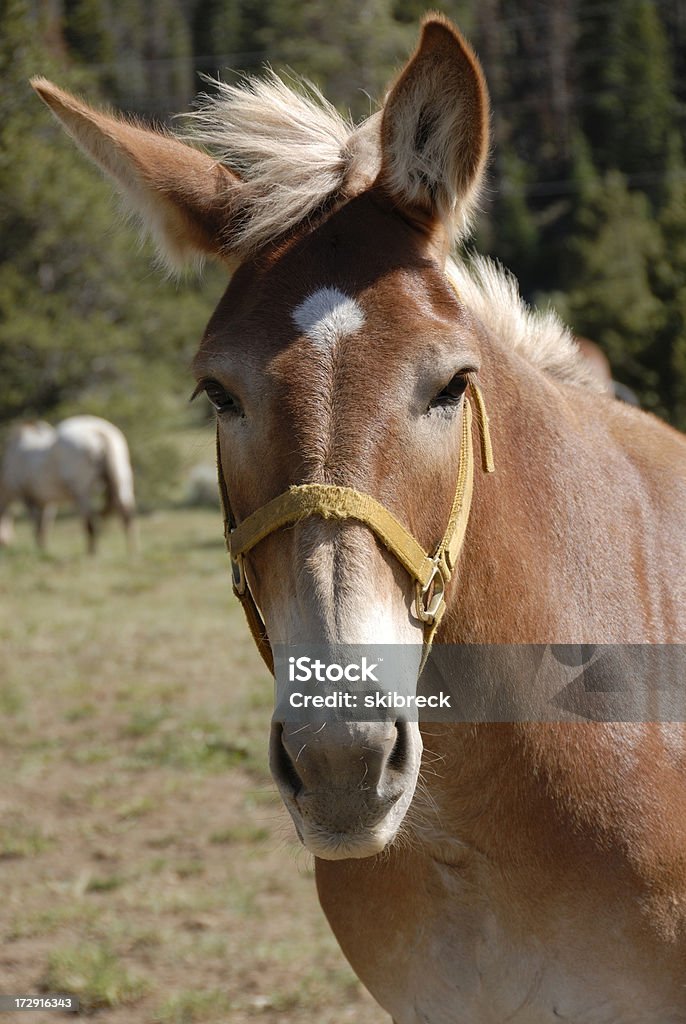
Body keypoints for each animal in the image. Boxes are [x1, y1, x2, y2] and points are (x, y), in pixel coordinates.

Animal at [0, 415, 136, 557]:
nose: (5, 544)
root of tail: (99, 431)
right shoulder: (47, 501)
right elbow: (44, 524)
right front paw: (43, 548)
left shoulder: (27, 496)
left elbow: (37, 524)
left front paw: (39, 548)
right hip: (122, 479)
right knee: (127, 514)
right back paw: (131, 550)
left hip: (82, 491)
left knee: (90, 522)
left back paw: (91, 552)